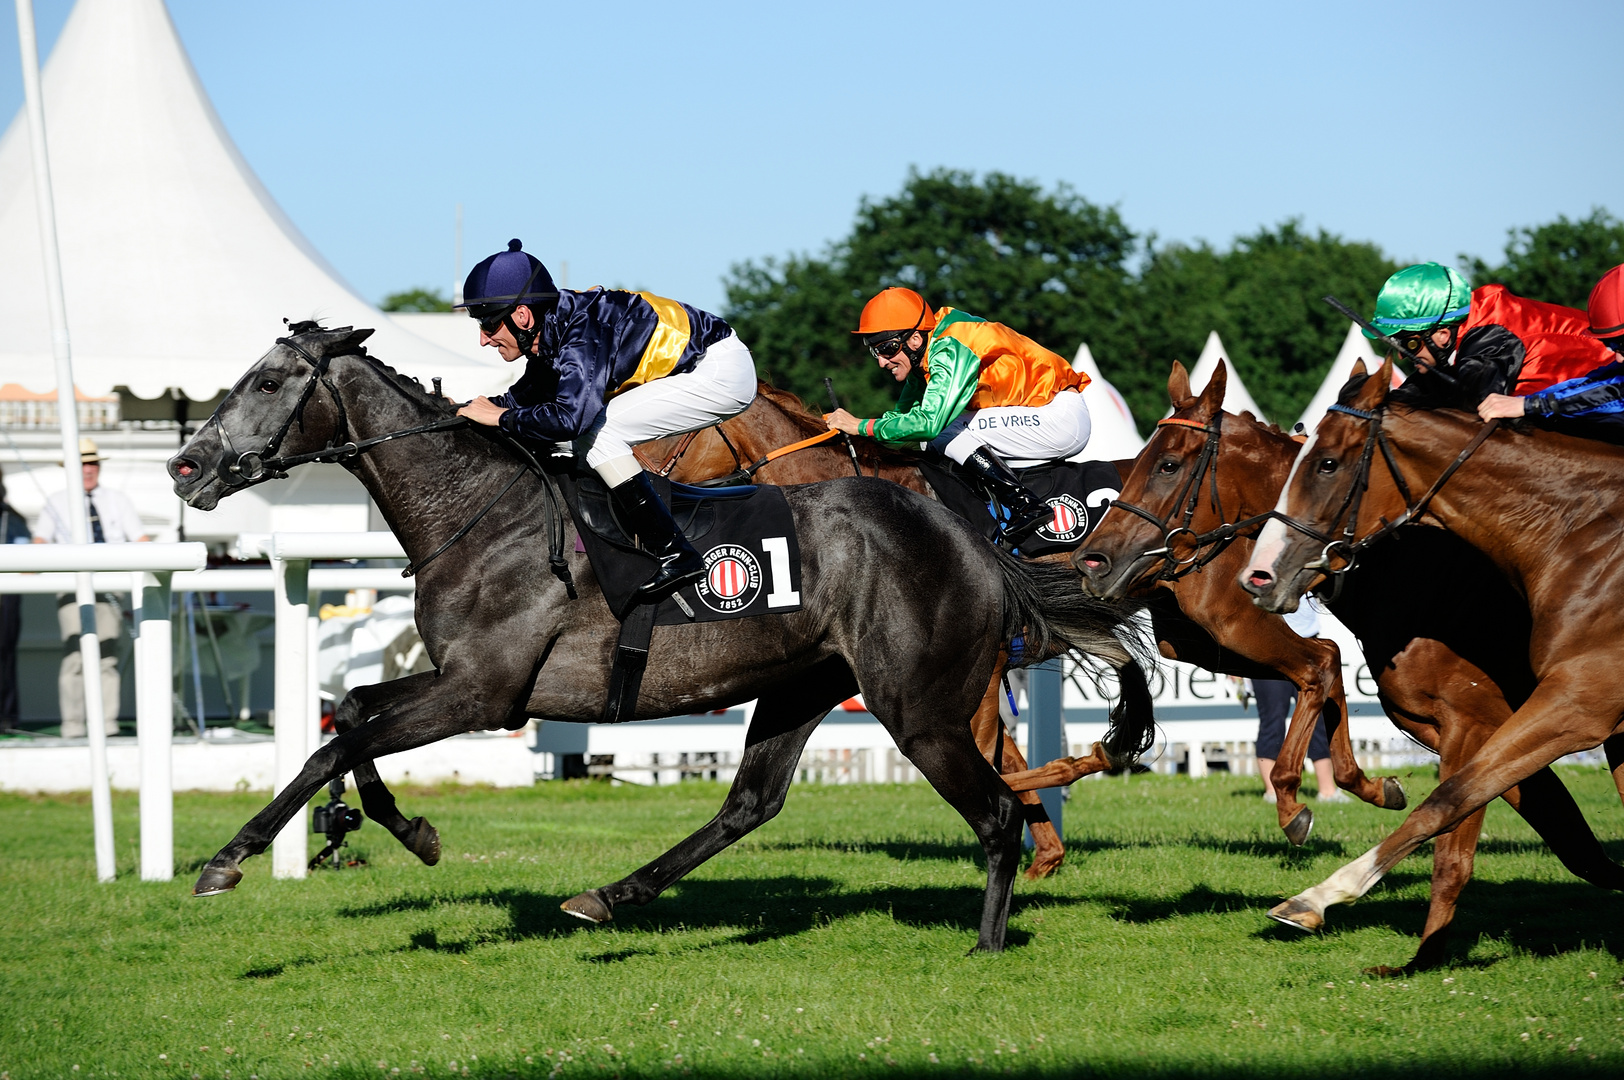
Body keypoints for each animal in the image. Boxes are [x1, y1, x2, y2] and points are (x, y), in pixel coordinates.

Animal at [171, 324, 1149, 948]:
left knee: (994, 811)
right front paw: (412, 831)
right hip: (801, 685)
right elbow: (348, 713)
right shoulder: (460, 679)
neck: (479, 510)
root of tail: (977, 544)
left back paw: (987, 942)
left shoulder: (483, 692)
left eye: (267, 382)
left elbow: (334, 747)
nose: (187, 465)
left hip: (919, 708)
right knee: (750, 803)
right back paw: (610, 896)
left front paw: (226, 861)